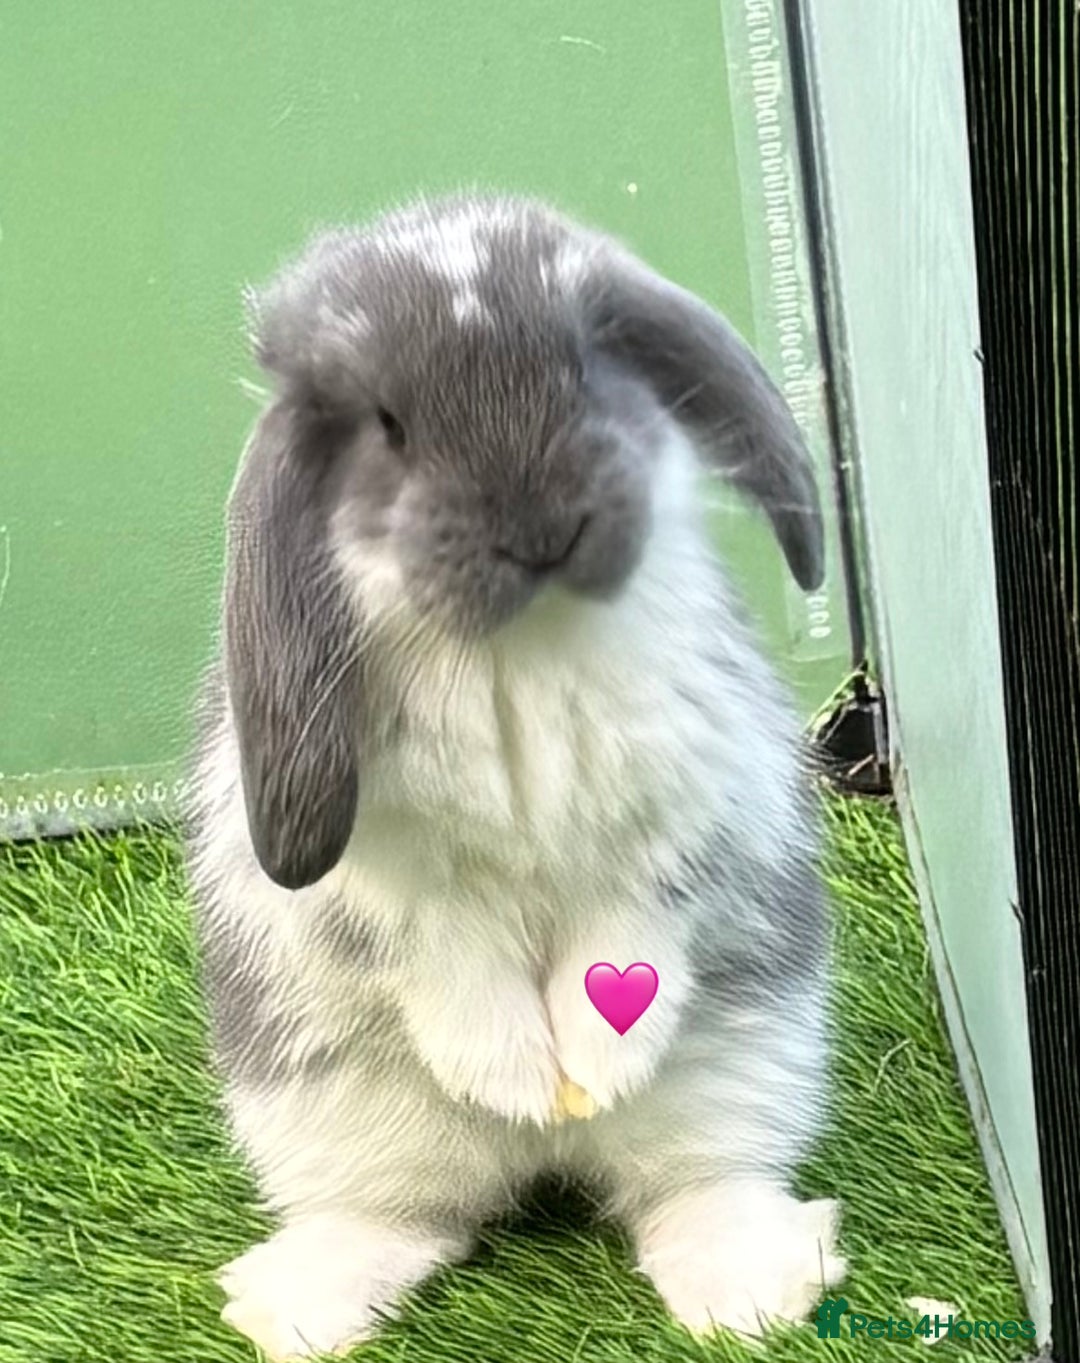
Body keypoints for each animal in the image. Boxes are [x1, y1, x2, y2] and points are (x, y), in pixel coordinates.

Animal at [185, 192, 845, 1361]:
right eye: (389, 424)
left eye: (586, 367)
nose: (541, 528)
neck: (517, 645)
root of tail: (545, 1170)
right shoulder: (395, 886)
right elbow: (443, 955)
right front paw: (518, 1079)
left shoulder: (680, 823)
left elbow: (631, 930)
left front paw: (594, 1056)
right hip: (324, 1112)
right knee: (411, 1216)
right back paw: (307, 1302)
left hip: (756, 1056)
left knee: (695, 1185)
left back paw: (746, 1284)